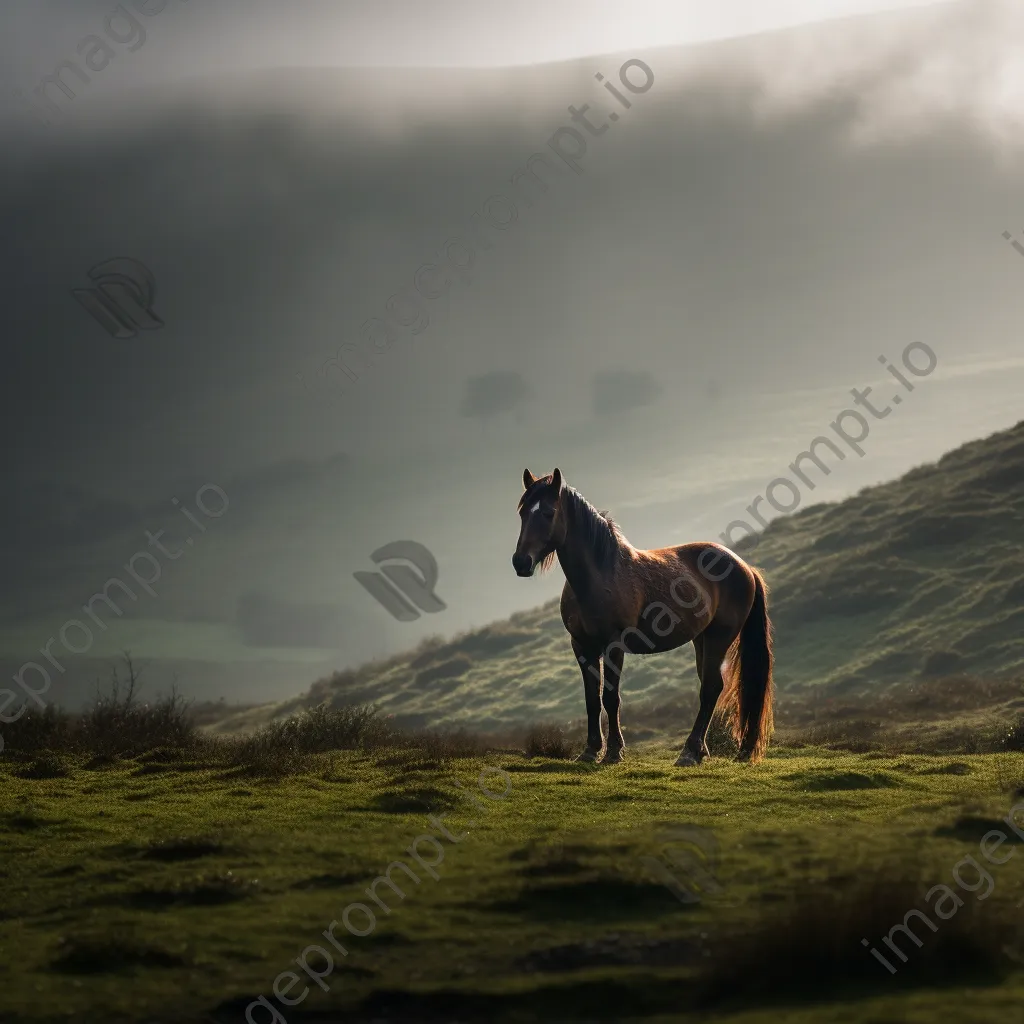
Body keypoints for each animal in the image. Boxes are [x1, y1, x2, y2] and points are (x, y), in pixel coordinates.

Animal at [516, 468, 770, 765]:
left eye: (548, 512)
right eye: (523, 512)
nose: (520, 562)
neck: (601, 574)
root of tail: (745, 567)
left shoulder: (614, 644)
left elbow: (610, 697)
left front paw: (613, 751)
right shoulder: (581, 645)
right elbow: (592, 698)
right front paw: (590, 751)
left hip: (720, 637)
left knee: (710, 687)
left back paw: (691, 752)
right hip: (702, 640)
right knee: (712, 687)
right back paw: (702, 751)